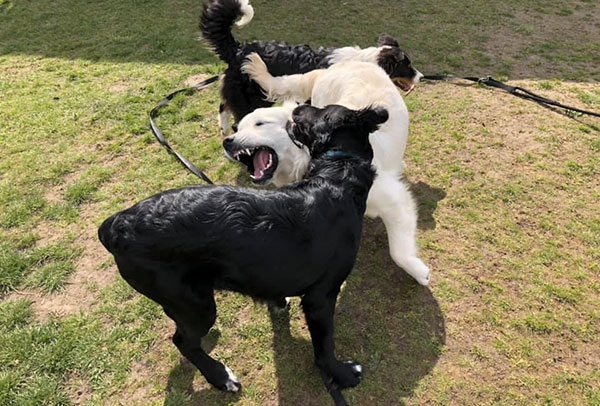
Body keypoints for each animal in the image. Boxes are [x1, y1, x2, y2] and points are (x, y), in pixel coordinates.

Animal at [98, 104, 390, 402]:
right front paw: (341, 374)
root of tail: (115, 224)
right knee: (183, 342)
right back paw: (221, 377)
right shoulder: (320, 298)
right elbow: (324, 346)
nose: (297, 107)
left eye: (318, 111)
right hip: (194, 303)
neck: (337, 175)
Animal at [199, 0, 420, 135]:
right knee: (237, 119)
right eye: (407, 65)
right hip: (251, 99)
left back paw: (224, 131)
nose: (421, 76)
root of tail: (237, 48)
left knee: (224, 106)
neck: (367, 61)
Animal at [223, 54, 428, 286]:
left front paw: (419, 271)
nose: (227, 141)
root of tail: (329, 68)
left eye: (260, 124)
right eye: (238, 128)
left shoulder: (394, 198)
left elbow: (398, 252)